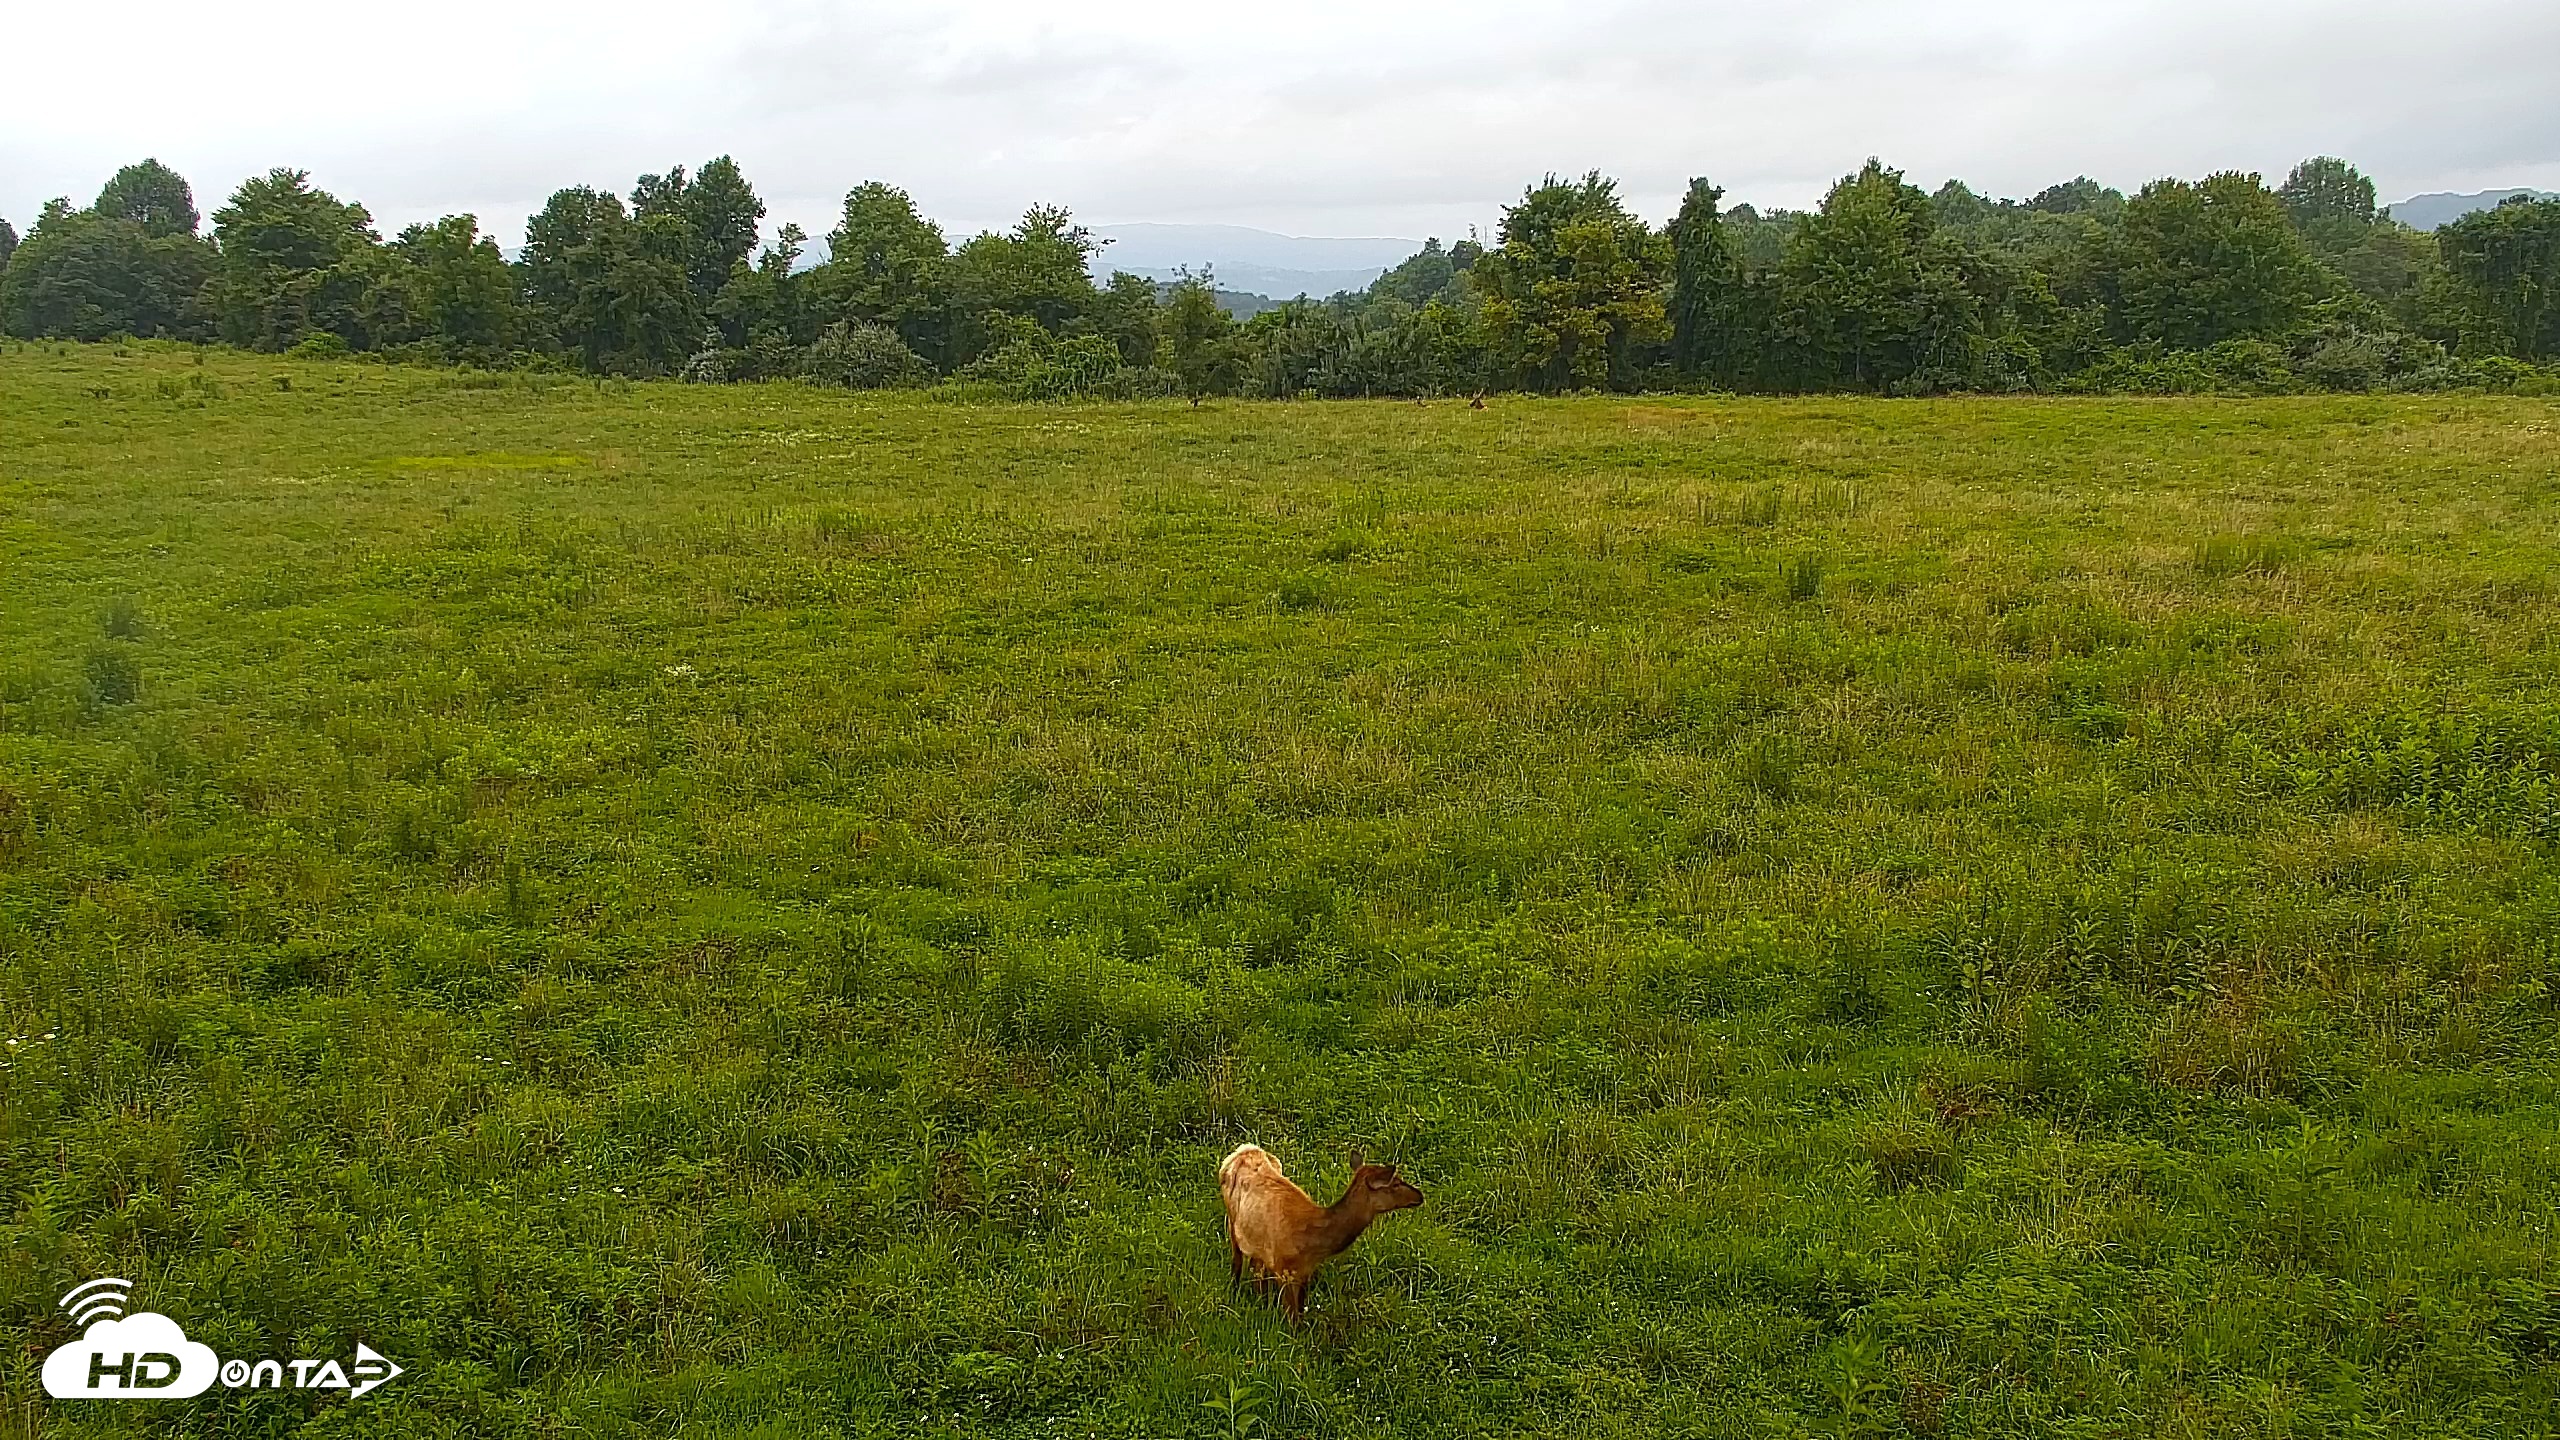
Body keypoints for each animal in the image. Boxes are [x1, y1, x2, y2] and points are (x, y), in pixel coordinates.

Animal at [1219, 1143, 1423, 1321]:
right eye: (1395, 1183)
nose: (1420, 1196)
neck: (1311, 1241)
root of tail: (1243, 1150)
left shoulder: (1304, 1271)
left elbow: (1300, 1310)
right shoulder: (1283, 1269)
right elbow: (1293, 1317)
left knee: (1256, 1270)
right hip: (1232, 1222)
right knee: (1237, 1264)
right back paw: (1233, 1296)